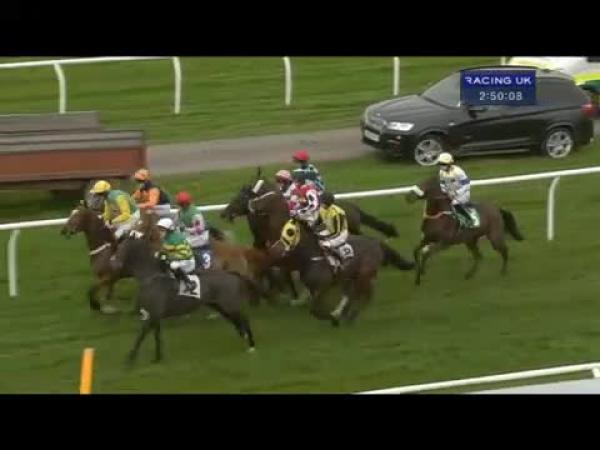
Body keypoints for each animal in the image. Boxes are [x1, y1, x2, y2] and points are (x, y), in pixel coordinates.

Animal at [110, 236, 259, 364]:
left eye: (121, 247)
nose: (113, 263)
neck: (152, 276)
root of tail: (231, 273)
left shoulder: (153, 314)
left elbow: (141, 335)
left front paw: (130, 358)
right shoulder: (155, 316)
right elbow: (156, 336)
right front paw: (157, 357)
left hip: (229, 304)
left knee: (243, 319)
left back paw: (251, 344)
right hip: (219, 305)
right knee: (236, 320)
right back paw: (244, 336)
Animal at [249, 188, 415, 325]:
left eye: (267, 196)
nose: (251, 202)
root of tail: (377, 243)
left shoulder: (322, 285)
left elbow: (314, 307)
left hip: (364, 273)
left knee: (364, 294)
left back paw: (348, 315)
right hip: (353, 275)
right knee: (354, 293)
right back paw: (344, 313)